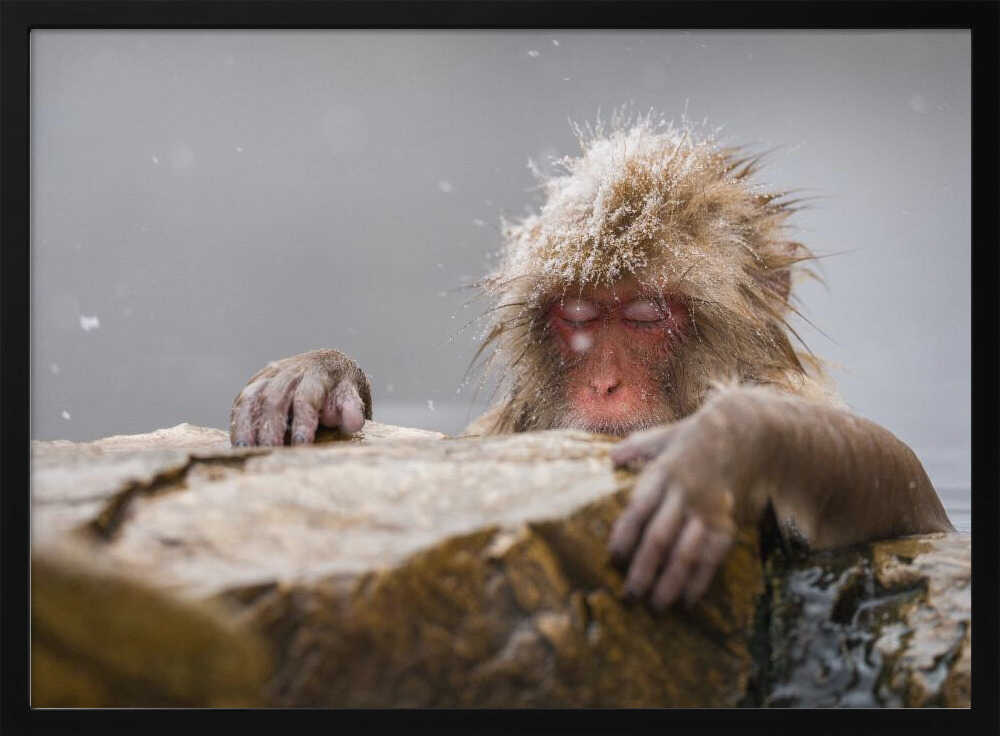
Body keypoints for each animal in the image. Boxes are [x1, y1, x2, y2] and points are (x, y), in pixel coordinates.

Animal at [229, 114, 954, 611]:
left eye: (647, 315)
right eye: (577, 317)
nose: (605, 384)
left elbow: (906, 487)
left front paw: (722, 444)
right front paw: (317, 375)